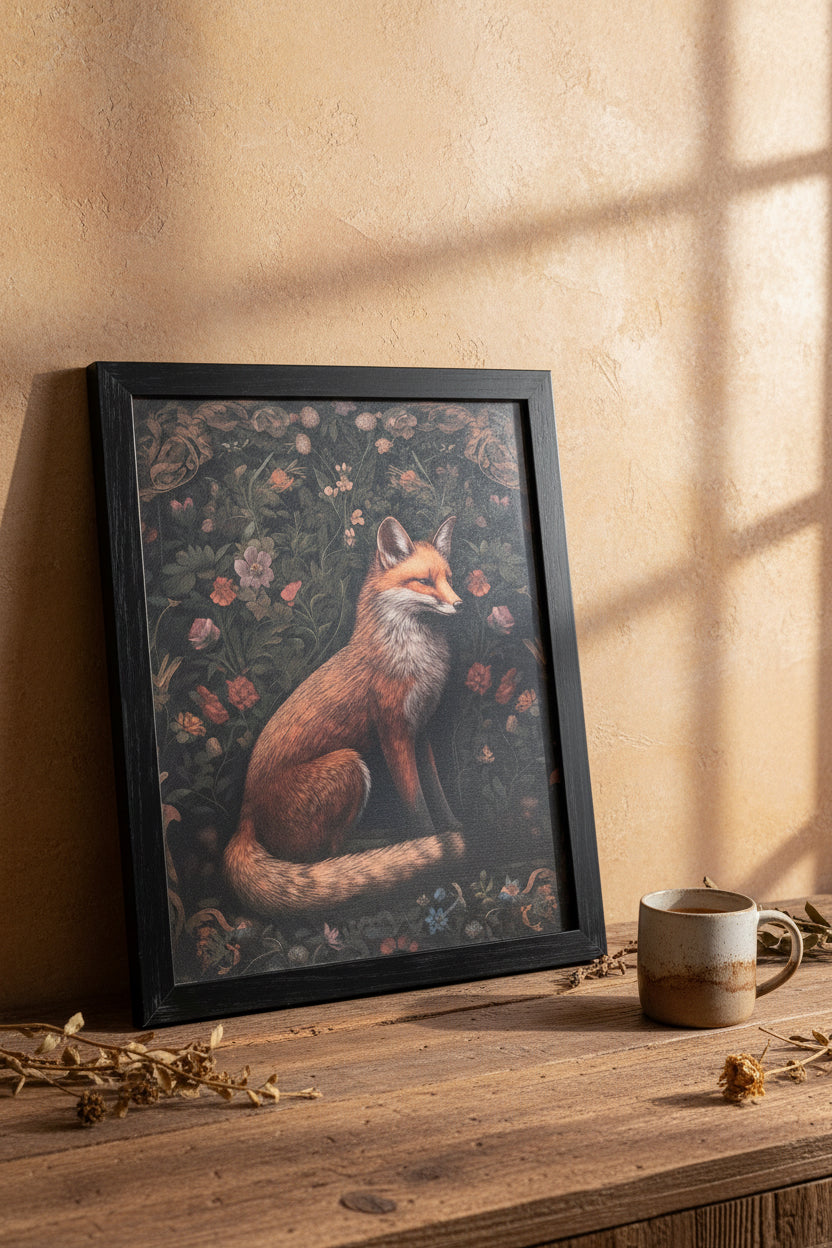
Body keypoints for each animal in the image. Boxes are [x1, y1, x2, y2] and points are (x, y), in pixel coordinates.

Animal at [224, 515, 466, 917]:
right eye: (424, 581)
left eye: (448, 578)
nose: (461, 605)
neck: (413, 660)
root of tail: (244, 815)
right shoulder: (394, 735)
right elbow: (416, 804)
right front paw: (435, 849)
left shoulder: (422, 733)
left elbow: (438, 793)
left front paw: (456, 830)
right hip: (349, 765)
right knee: (322, 856)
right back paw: (374, 851)